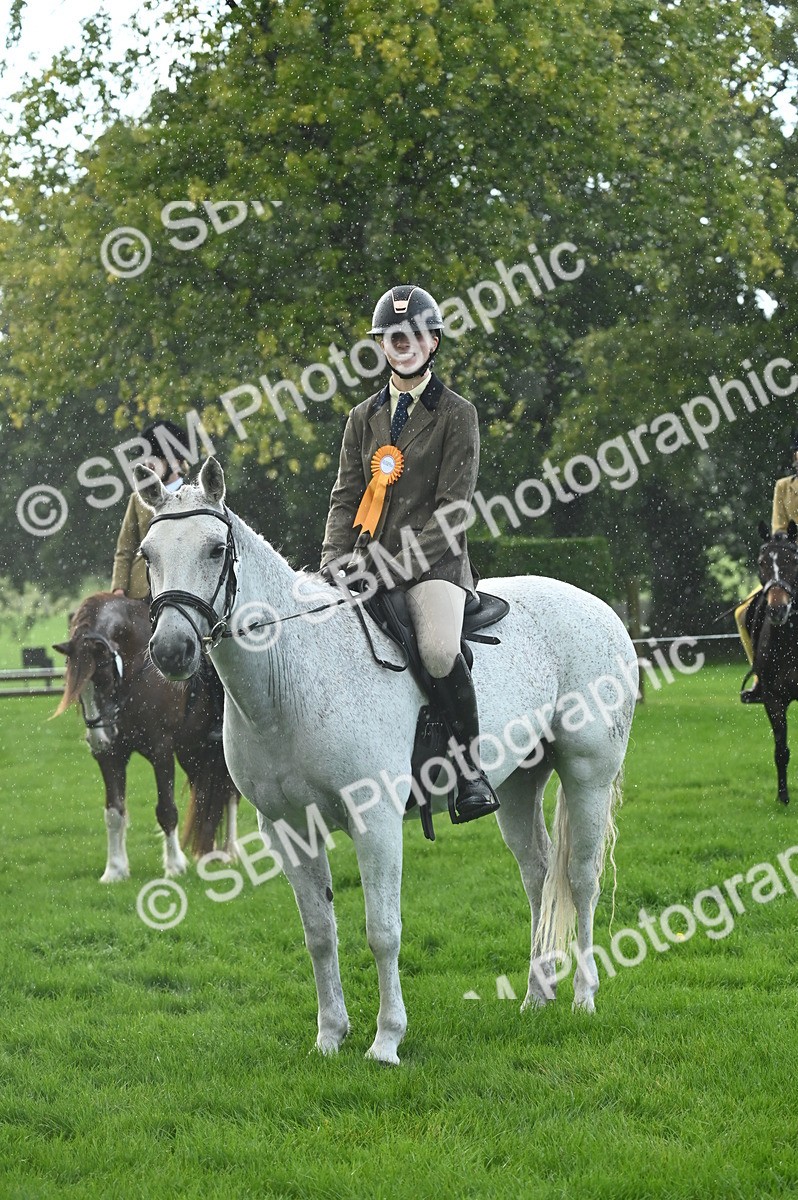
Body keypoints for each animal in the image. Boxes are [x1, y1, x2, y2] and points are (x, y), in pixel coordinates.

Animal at [52, 592, 240, 881]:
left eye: (103, 677)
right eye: (76, 687)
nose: (97, 740)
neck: (136, 671)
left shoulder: (160, 750)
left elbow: (166, 810)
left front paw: (175, 866)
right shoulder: (111, 756)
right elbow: (114, 812)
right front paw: (115, 870)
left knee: (230, 792)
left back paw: (230, 850)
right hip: (191, 751)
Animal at [141, 459, 638, 1064]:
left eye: (215, 549)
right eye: (147, 554)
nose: (171, 651)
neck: (294, 676)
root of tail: (599, 607)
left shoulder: (373, 822)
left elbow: (382, 931)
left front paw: (386, 1040)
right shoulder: (287, 829)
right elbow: (319, 933)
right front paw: (330, 1035)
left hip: (588, 775)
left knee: (580, 878)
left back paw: (584, 997)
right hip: (520, 786)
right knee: (539, 876)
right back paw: (536, 997)